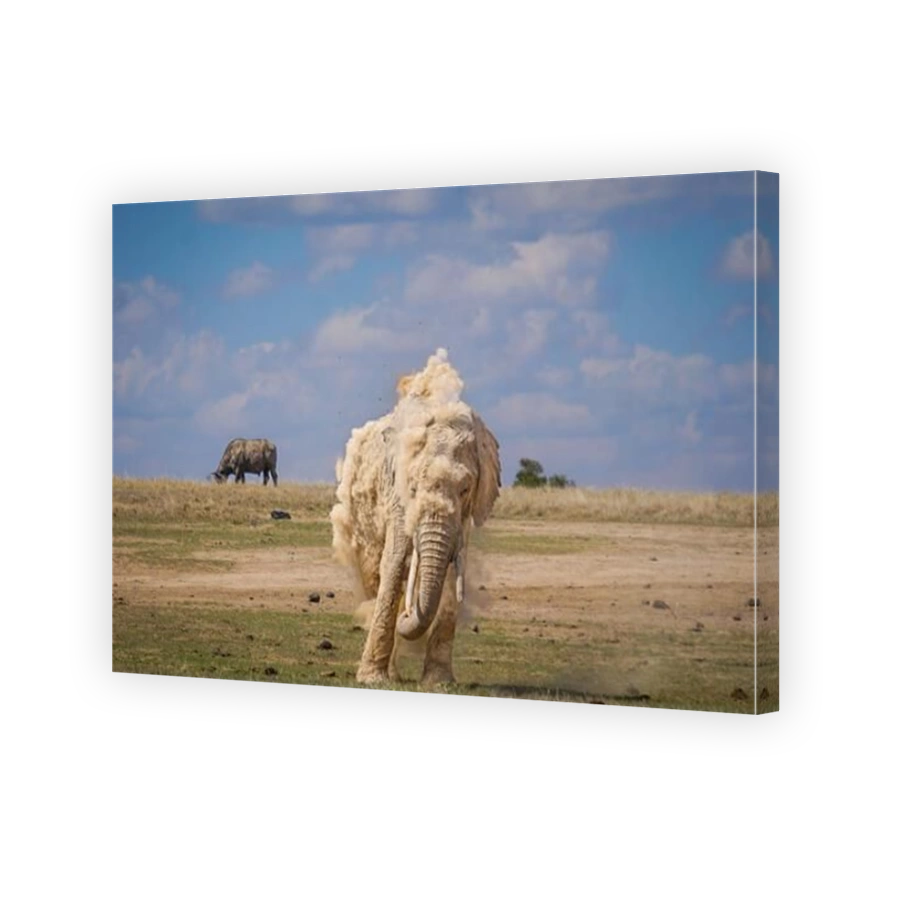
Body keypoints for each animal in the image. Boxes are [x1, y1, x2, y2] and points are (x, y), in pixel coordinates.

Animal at [330, 349, 501, 685]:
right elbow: (394, 562)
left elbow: (452, 568)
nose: (408, 613)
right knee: (374, 572)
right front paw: (372, 679)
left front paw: (439, 682)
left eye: (465, 489)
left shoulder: (464, 516)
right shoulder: (396, 499)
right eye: (411, 487)